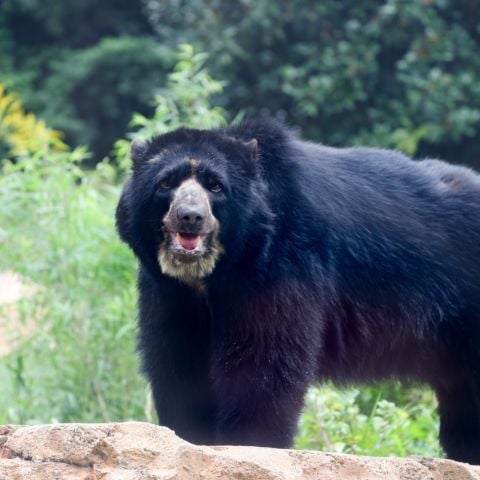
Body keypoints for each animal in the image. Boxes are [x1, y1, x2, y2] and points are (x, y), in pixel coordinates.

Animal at [115, 118, 480, 464]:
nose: (190, 217)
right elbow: (178, 360)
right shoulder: (168, 292)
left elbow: (264, 360)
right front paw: (189, 437)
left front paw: (247, 443)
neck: (212, 273)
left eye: (215, 186)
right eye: (166, 183)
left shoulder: (285, 263)